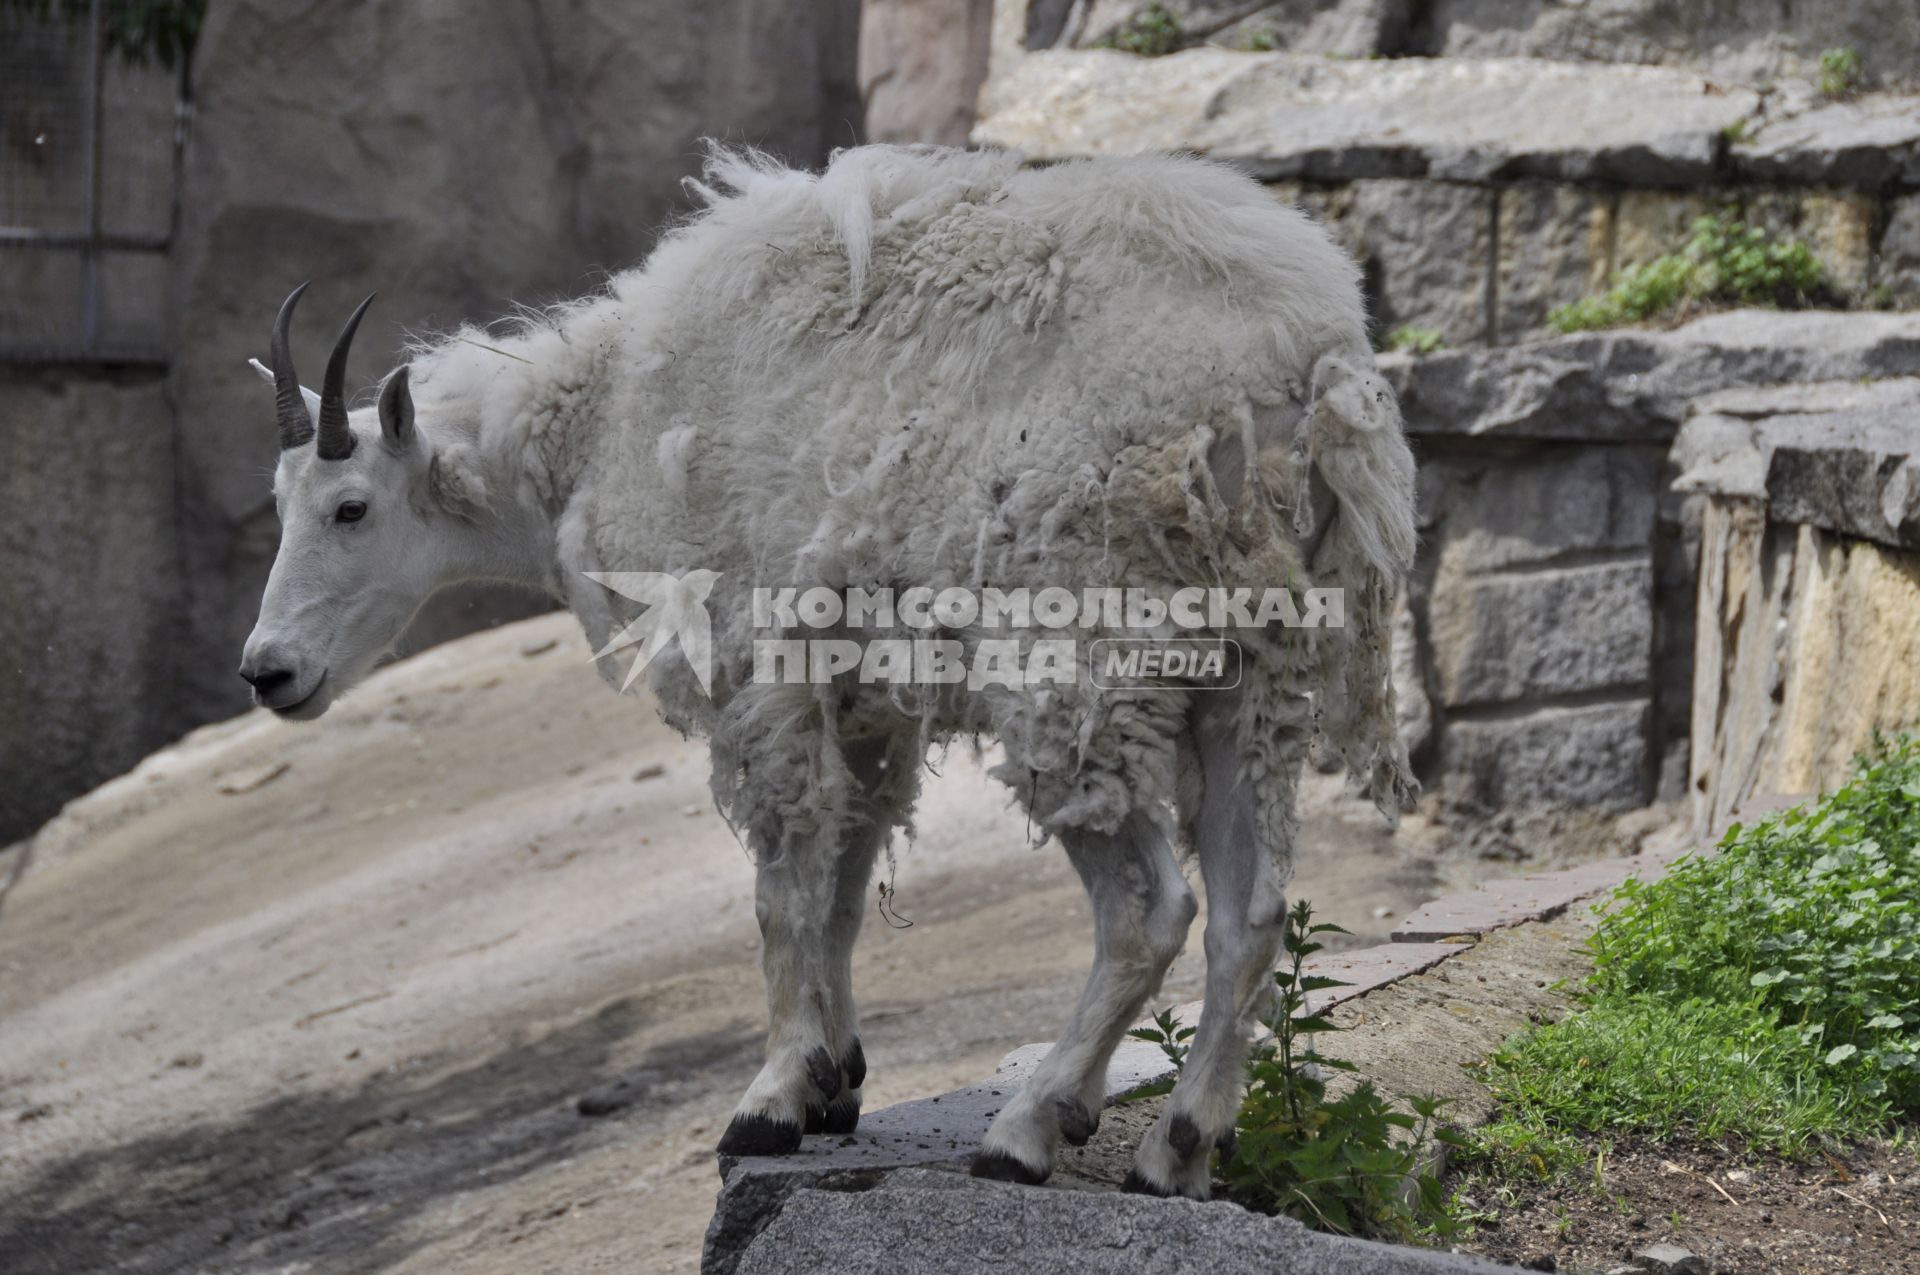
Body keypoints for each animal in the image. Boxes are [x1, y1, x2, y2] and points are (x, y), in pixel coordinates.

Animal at [240, 144, 1420, 1198]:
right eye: (281, 502)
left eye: (351, 508)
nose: (267, 671)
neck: (602, 419)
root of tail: (1308, 364)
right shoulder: (859, 703)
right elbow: (845, 880)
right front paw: (836, 1081)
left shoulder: (753, 665)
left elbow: (783, 890)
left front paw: (770, 1098)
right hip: (1249, 670)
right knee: (1249, 912)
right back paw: (1176, 1149)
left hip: (1073, 666)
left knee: (1146, 909)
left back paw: (1029, 1128)